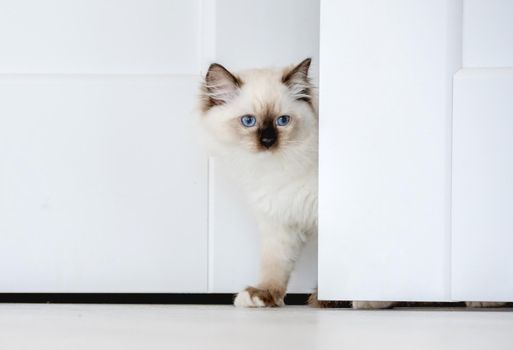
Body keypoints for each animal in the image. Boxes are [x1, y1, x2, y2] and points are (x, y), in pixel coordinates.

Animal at [198, 58, 506, 310]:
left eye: (282, 121)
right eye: (248, 121)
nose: (267, 141)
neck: (278, 169)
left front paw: (364, 298)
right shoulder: (280, 223)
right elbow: (275, 267)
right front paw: (263, 296)